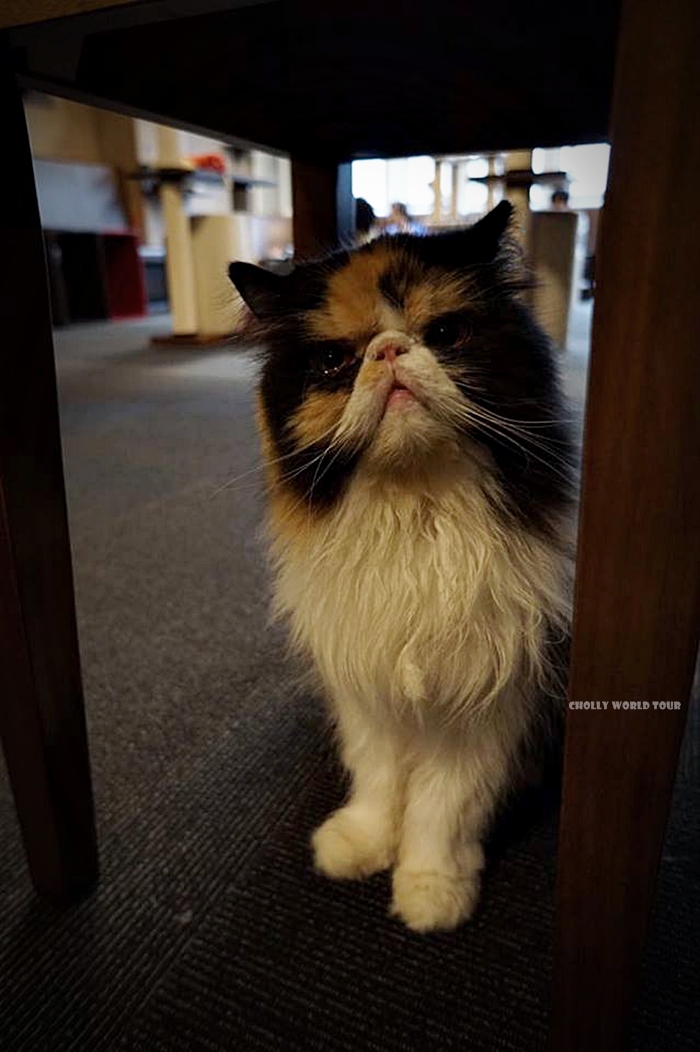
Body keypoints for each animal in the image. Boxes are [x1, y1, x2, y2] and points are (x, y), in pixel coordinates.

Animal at [229, 200, 572, 934]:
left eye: (444, 334)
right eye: (335, 360)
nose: (389, 351)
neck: (416, 510)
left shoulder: (483, 695)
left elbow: (444, 805)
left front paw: (431, 890)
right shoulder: (369, 691)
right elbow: (379, 779)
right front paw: (359, 846)